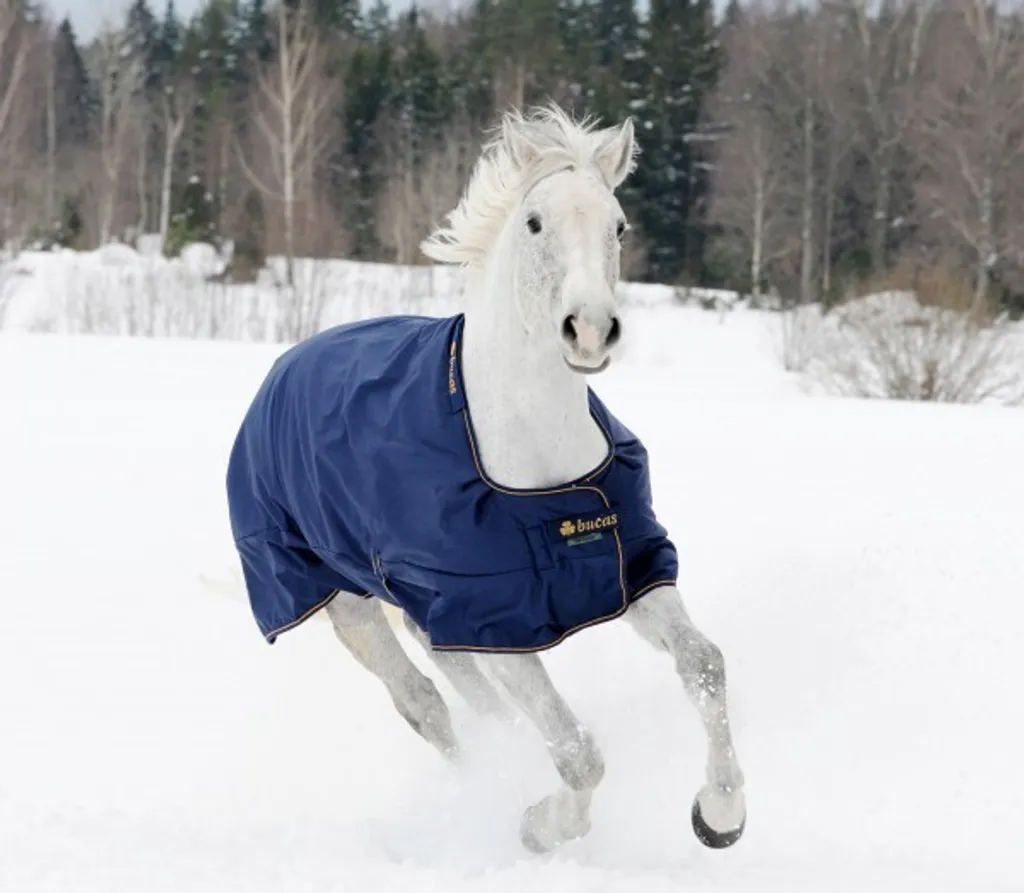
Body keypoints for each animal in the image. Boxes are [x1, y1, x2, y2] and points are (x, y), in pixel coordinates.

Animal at [225, 103, 746, 854]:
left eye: (618, 224)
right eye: (533, 222)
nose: (591, 330)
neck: (539, 471)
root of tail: (285, 365)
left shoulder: (633, 571)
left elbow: (704, 663)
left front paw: (719, 814)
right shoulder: (492, 622)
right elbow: (579, 753)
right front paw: (540, 826)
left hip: (421, 606)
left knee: (464, 689)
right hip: (340, 600)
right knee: (422, 701)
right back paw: (478, 786)